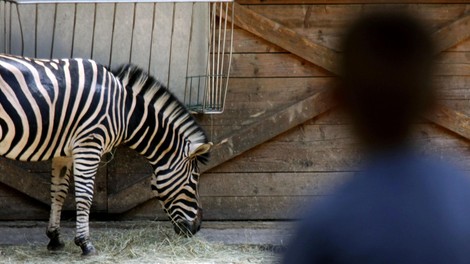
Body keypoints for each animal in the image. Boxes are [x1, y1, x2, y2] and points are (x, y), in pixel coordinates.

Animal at [0, 54, 211, 256]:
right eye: (195, 178)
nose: (198, 227)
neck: (123, 111)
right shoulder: (89, 144)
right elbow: (85, 195)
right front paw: (85, 244)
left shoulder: (64, 151)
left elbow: (58, 192)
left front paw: (55, 239)